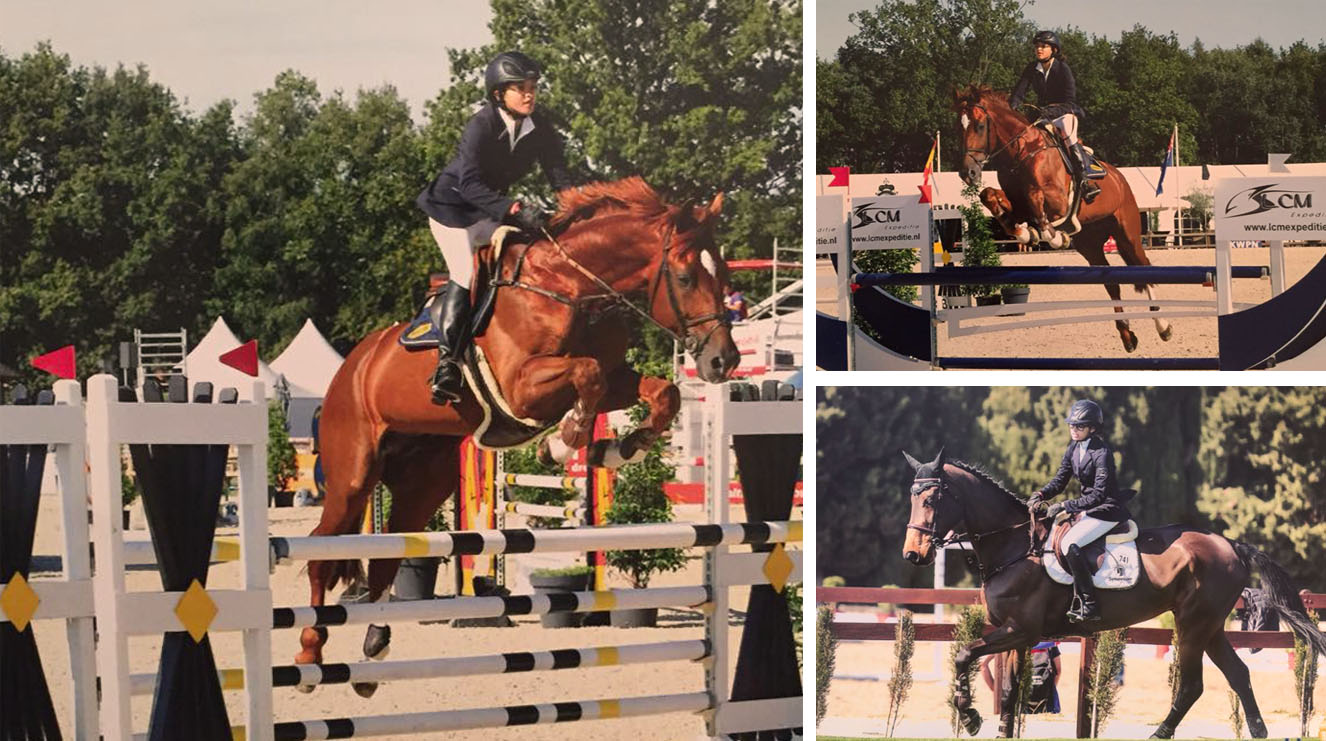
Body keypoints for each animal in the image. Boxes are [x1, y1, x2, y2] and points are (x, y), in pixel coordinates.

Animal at [297, 176, 741, 696]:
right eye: (686, 278)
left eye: (723, 273)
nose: (724, 361)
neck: (571, 287)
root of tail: (351, 366)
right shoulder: (523, 388)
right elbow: (586, 376)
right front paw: (563, 442)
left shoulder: (614, 378)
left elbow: (660, 391)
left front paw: (619, 448)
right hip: (353, 475)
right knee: (322, 552)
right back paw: (308, 653)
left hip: (424, 483)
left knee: (388, 555)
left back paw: (374, 650)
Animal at [901, 448, 1326, 739]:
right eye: (912, 498)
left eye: (933, 499)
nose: (913, 555)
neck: (1014, 547)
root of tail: (1231, 544)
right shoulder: (1013, 634)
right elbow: (1007, 691)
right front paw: (992, 726)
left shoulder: (1021, 630)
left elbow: (964, 654)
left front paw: (969, 716)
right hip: (1210, 627)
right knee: (1237, 674)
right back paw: (1258, 731)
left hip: (1193, 625)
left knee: (1192, 684)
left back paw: (1160, 733)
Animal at [953, 85, 1171, 353]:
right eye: (959, 126)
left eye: (980, 126)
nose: (968, 173)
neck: (1022, 152)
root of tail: (1120, 178)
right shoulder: (1018, 202)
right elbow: (991, 196)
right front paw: (1026, 232)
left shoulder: (1056, 201)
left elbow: (1036, 199)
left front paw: (1051, 236)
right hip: (1090, 245)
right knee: (1111, 282)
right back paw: (1126, 335)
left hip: (1127, 233)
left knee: (1143, 267)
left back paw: (1163, 326)